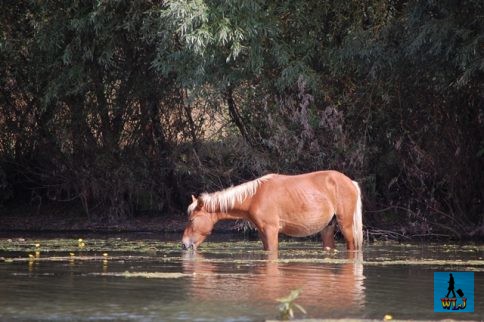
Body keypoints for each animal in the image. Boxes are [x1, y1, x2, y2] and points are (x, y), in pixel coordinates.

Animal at [182, 170, 364, 253]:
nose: (184, 244)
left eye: (192, 220)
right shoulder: (263, 233)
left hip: (346, 226)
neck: (254, 197)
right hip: (327, 229)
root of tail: (350, 182)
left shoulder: (271, 231)